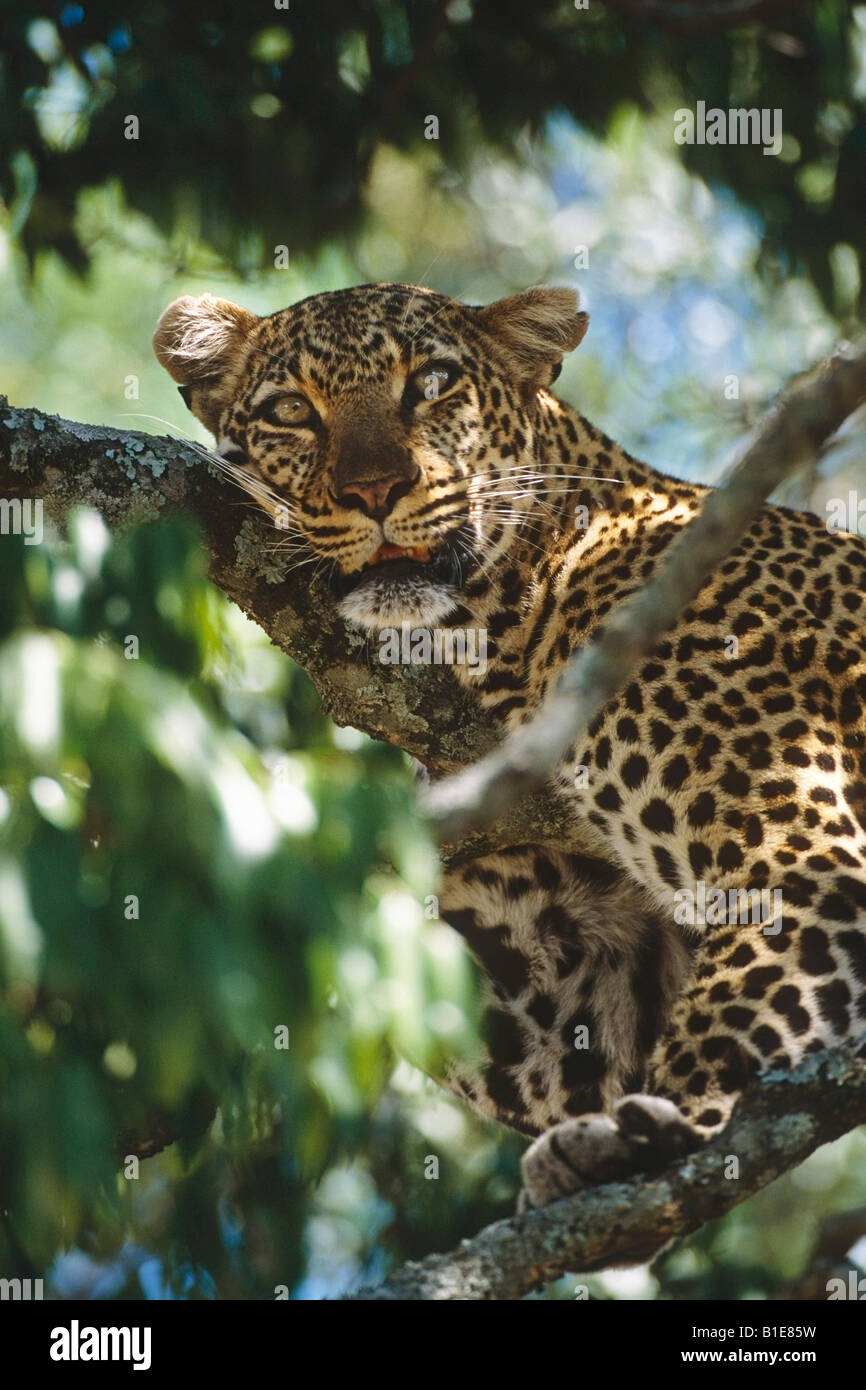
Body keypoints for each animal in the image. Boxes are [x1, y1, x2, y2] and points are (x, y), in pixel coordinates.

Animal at [153, 282, 866, 1210]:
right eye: (290, 411)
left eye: (432, 383)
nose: (375, 488)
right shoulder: (592, 977)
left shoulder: (802, 851)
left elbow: (734, 1003)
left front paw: (651, 1126)